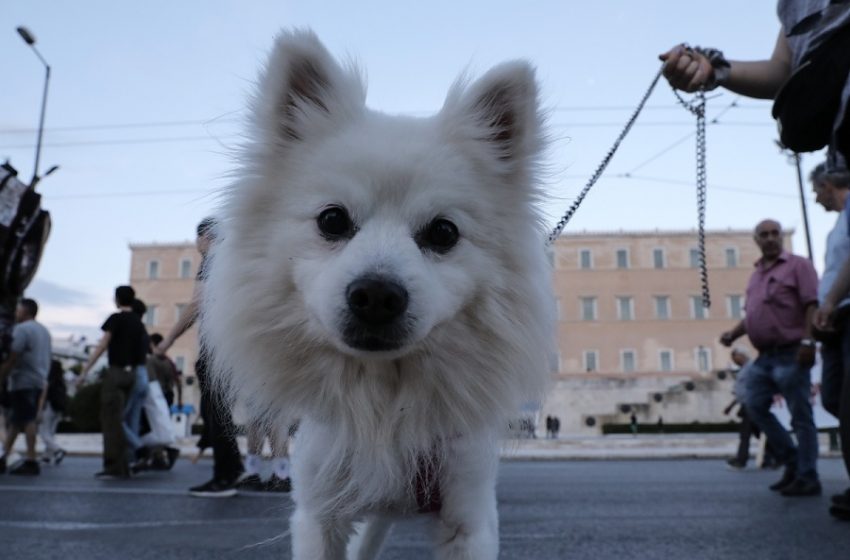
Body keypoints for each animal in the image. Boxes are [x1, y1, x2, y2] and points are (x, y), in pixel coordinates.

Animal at [203, 30, 552, 560]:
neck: (386, 407)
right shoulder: (319, 513)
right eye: (332, 220)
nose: (376, 294)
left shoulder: (468, 514)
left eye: (444, 232)